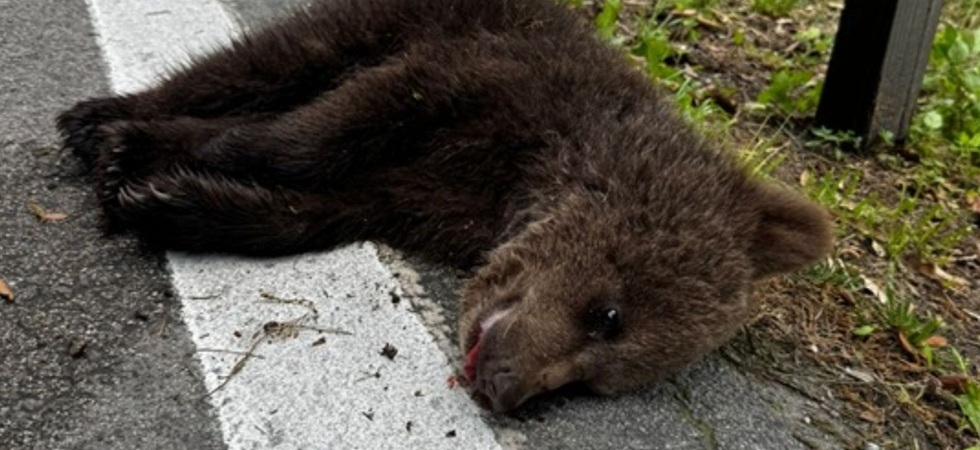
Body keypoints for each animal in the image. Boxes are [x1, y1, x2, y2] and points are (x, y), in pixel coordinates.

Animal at [58, 0, 833, 412]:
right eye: (609, 317)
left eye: (595, 382)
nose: (503, 390)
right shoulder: (471, 78)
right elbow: (310, 137)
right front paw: (144, 155)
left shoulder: (423, 197)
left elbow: (310, 209)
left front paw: (171, 200)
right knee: (257, 63)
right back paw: (103, 119)